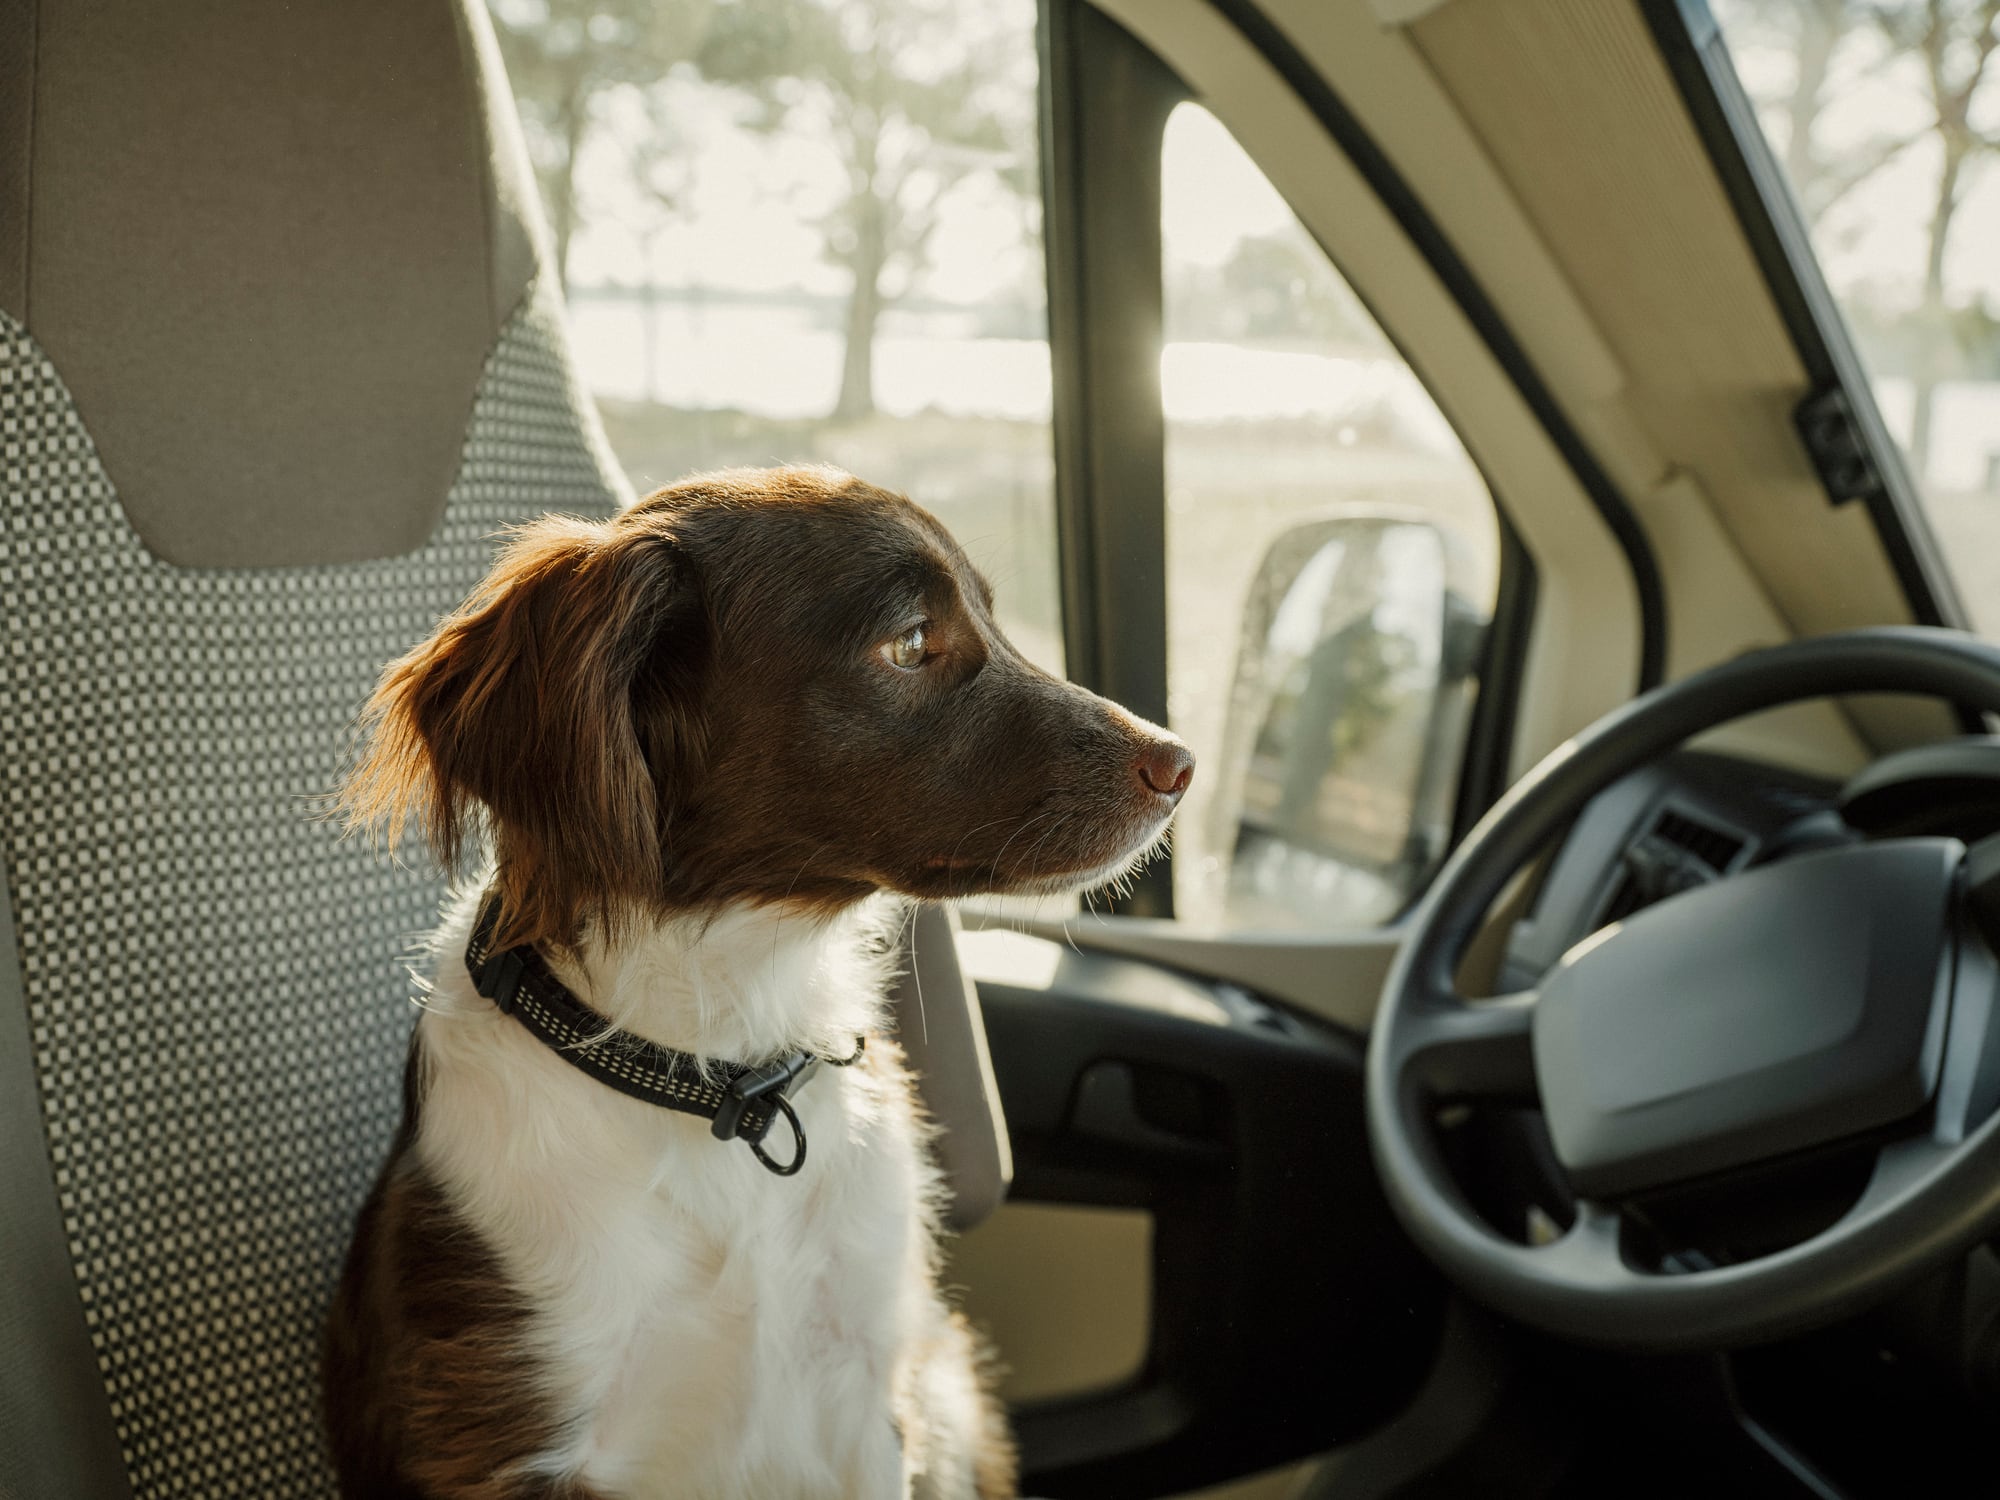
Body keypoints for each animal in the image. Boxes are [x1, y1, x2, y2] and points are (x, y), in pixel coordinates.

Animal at [324, 470, 1184, 1500]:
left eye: (991, 613)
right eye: (911, 642)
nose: (1180, 763)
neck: (723, 1077)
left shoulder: (869, 1395)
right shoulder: (507, 1440)